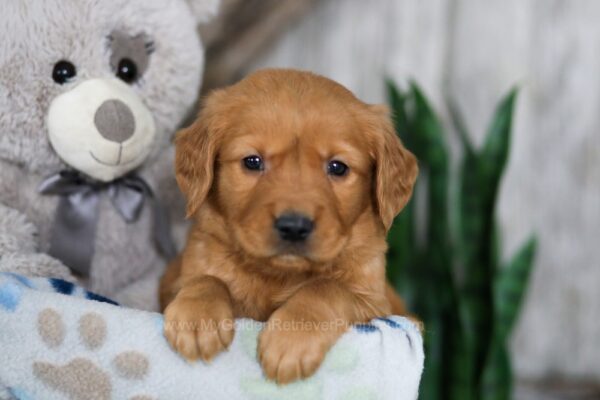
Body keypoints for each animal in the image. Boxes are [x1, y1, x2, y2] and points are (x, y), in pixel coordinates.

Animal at [159, 69, 418, 384]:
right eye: (252, 161)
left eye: (338, 167)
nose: (294, 226)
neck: (279, 274)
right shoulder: (179, 278)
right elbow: (206, 280)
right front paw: (198, 317)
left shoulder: (378, 307)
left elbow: (327, 287)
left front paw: (292, 340)